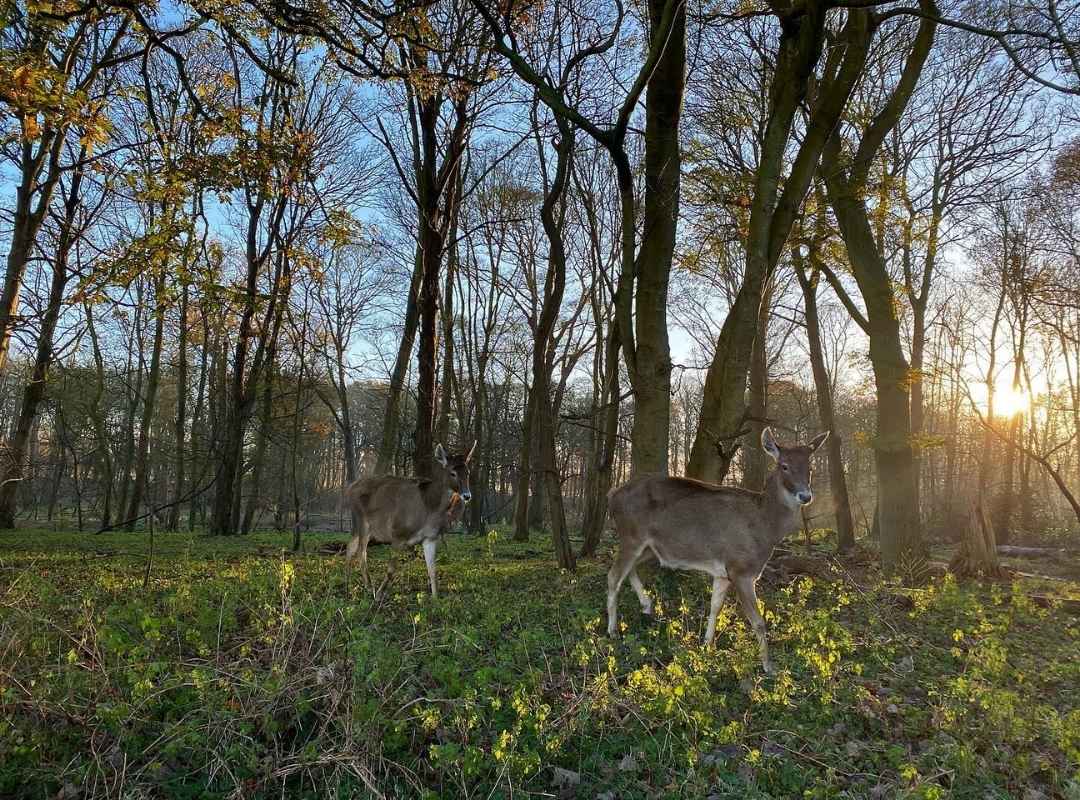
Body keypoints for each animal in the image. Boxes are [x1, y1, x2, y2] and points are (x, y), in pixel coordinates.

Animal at [343, 441, 475, 599]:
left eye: (468, 472)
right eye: (452, 473)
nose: (467, 495)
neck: (429, 508)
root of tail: (350, 488)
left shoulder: (430, 537)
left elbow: (433, 571)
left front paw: (435, 598)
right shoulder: (398, 533)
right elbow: (391, 569)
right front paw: (380, 594)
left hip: (364, 526)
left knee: (350, 547)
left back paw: (348, 585)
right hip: (362, 520)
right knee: (361, 552)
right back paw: (369, 587)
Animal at [606, 428, 829, 674]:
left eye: (809, 467)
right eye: (784, 465)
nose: (805, 496)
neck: (765, 528)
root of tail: (612, 495)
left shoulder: (723, 572)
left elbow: (715, 607)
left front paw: (706, 645)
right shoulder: (741, 569)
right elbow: (758, 622)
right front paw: (768, 666)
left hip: (649, 547)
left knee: (628, 570)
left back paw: (647, 606)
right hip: (631, 535)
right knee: (613, 576)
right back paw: (612, 631)